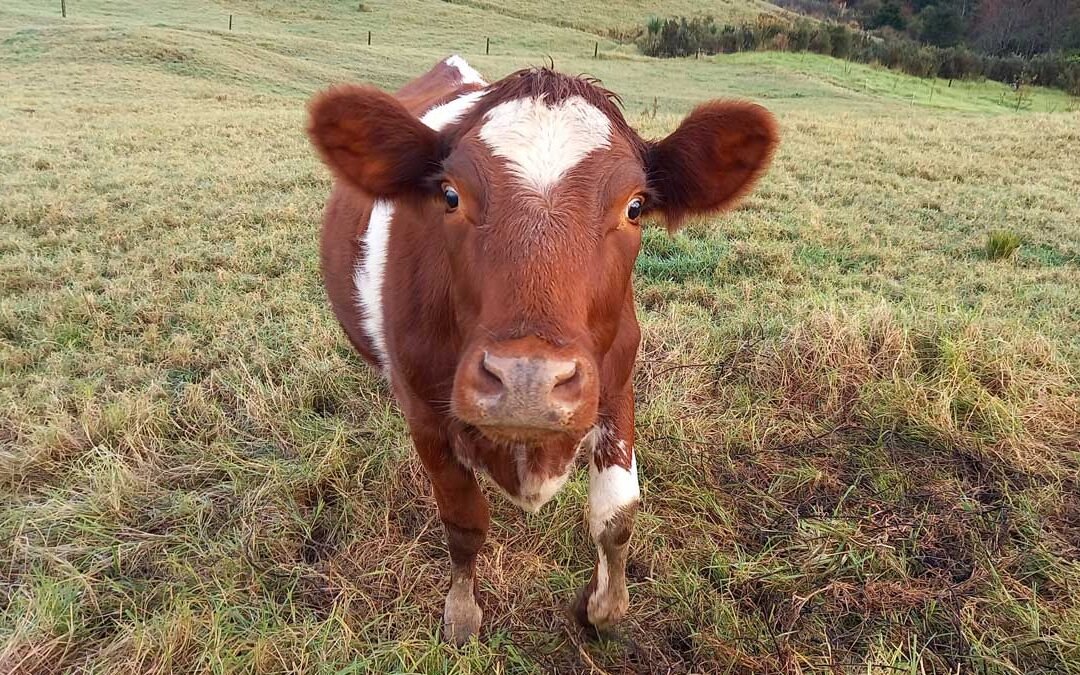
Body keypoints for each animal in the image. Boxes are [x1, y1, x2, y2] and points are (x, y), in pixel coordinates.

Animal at [304, 55, 777, 639]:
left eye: (635, 207)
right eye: (450, 195)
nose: (527, 379)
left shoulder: (615, 386)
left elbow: (616, 516)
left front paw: (604, 609)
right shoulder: (425, 414)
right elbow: (464, 521)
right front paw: (462, 613)